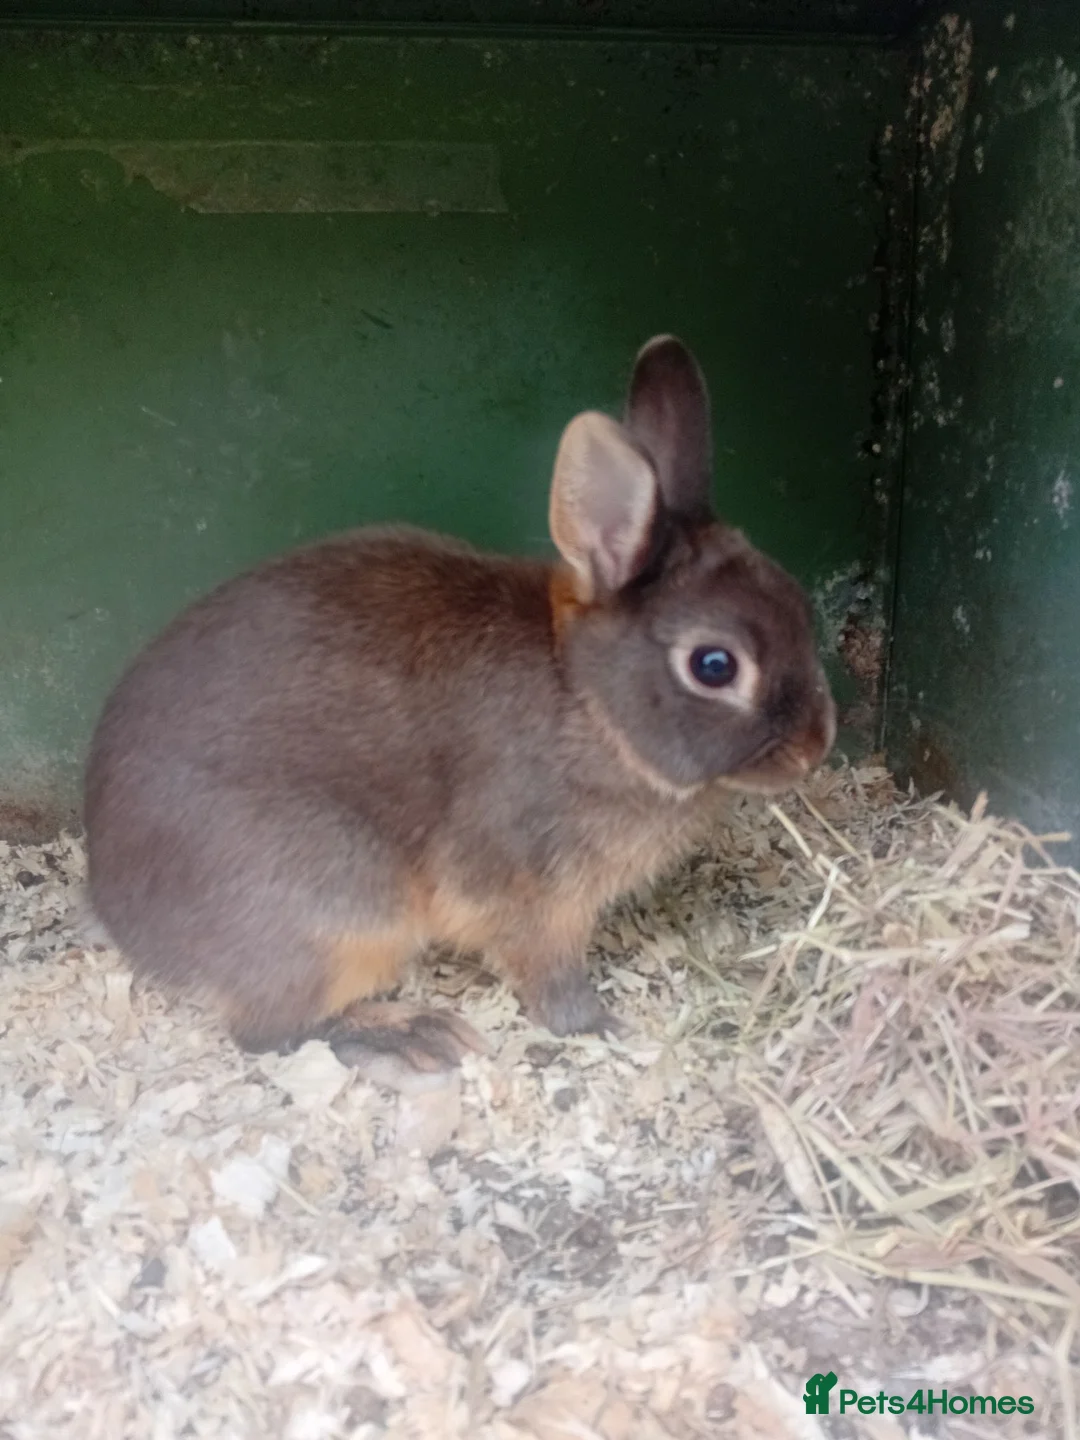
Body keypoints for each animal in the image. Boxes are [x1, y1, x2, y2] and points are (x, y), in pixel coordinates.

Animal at [84, 336, 835, 1077]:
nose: (816, 747)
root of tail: (127, 923)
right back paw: (413, 1037)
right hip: (340, 913)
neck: (589, 701)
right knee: (272, 1032)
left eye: (796, 600)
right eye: (715, 666)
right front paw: (598, 1027)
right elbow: (550, 976)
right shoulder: (532, 895)